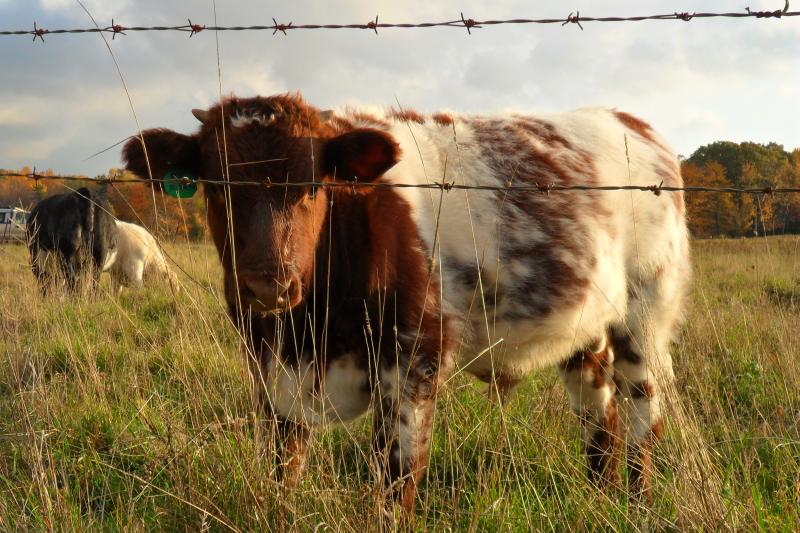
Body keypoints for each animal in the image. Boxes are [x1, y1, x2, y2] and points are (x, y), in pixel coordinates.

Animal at [122, 93, 690, 512]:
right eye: (216, 187)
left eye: (313, 185)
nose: (268, 285)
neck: (311, 331)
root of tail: (630, 121)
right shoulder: (272, 371)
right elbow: (282, 472)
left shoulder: (415, 356)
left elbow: (396, 478)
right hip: (584, 328)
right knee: (599, 415)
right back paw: (601, 497)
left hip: (646, 312)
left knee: (642, 414)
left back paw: (636, 503)